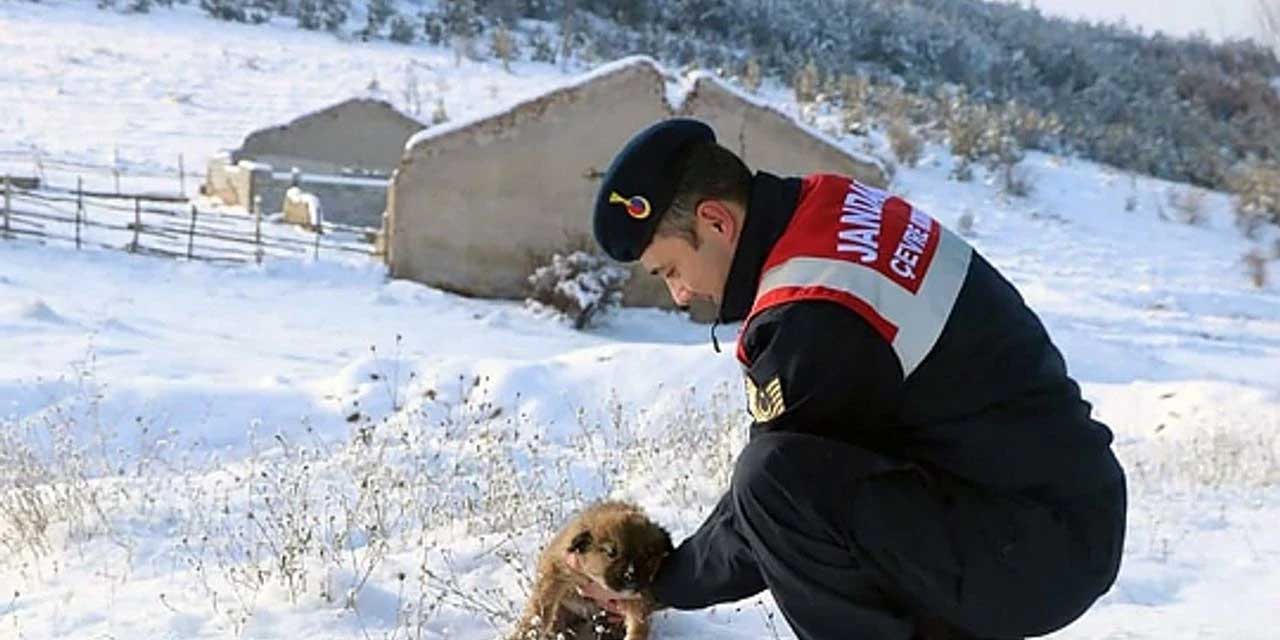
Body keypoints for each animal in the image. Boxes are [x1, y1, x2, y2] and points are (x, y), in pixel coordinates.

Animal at [512, 501, 675, 637]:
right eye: (611, 552)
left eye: (647, 555)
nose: (631, 577)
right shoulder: (556, 572)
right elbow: (540, 607)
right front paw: (528, 632)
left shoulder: (638, 601)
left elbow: (638, 626)